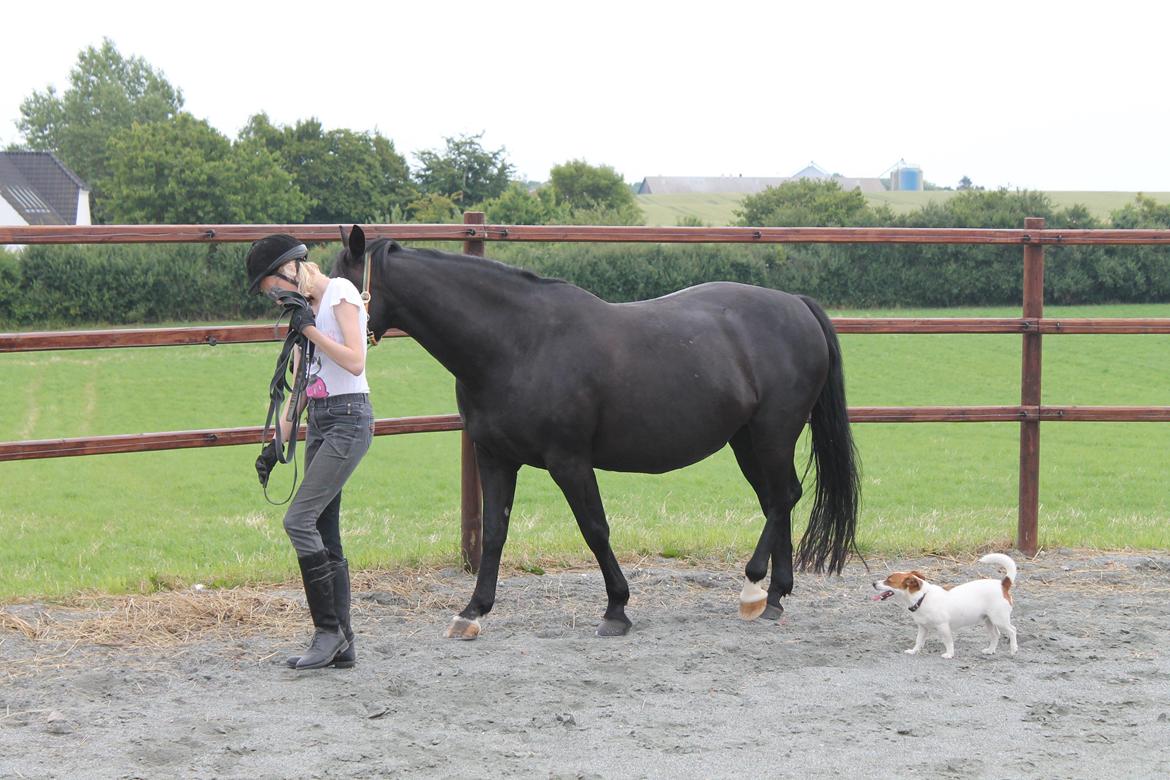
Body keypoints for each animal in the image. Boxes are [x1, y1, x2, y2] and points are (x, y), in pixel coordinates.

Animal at [332, 225, 861, 640]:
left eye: (339, 293)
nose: (317, 342)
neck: (518, 343)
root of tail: (797, 305)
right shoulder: (495, 457)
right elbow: (496, 531)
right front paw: (472, 612)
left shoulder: (569, 460)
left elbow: (595, 528)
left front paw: (616, 609)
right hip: (747, 440)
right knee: (779, 499)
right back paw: (775, 597)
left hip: (772, 434)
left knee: (782, 498)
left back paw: (753, 590)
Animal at [875, 551, 1020, 664]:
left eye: (888, 581)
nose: (873, 583)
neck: (922, 597)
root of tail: (1003, 584)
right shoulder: (922, 628)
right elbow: (918, 641)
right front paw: (914, 651)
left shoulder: (943, 627)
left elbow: (948, 642)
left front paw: (949, 654)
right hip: (989, 620)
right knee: (996, 635)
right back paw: (990, 651)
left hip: (999, 619)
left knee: (1012, 630)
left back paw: (1013, 649)